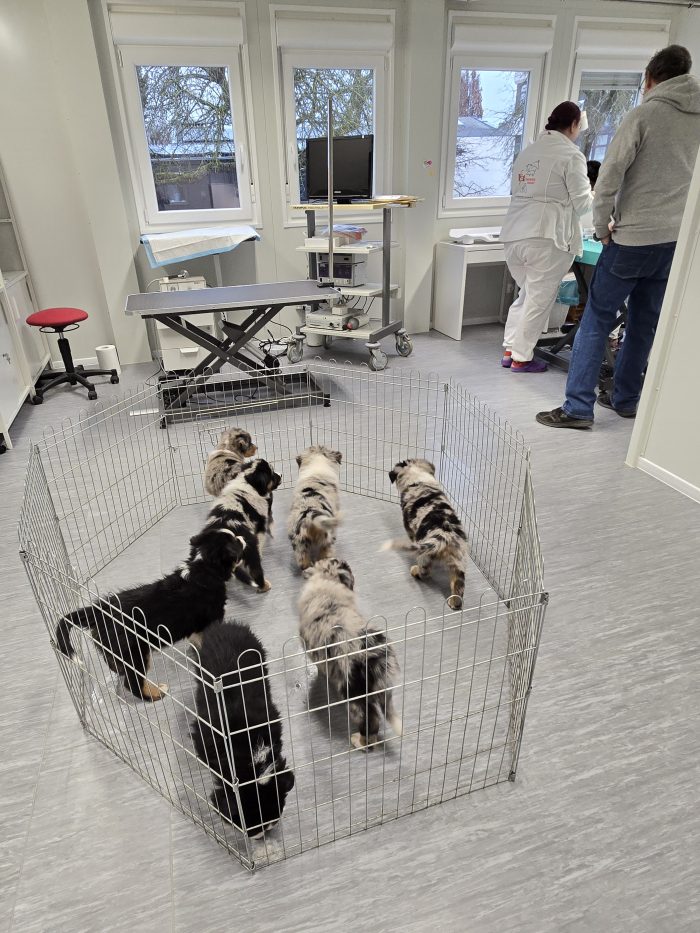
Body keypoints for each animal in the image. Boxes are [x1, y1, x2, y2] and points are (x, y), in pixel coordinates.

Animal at [55, 527, 246, 701]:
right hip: (136, 654)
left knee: (115, 665)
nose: (243, 537)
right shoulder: (212, 619)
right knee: (133, 684)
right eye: (236, 541)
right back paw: (156, 693)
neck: (204, 566)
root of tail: (99, 609)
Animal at [207, 459, 281, 593]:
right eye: (272, 474)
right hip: (250, 547)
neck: (248, 483)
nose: (281, 475)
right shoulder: (260, 527)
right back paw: (264, 586)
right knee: (256, 570)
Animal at [386, 459, 468, 610]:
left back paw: (415, 571)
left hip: (425, 554)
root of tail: (445, 534)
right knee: (458, 586)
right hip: (459, 561)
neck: (418, 480)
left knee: (425, 572)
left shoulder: (409, 529)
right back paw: (454, 603)